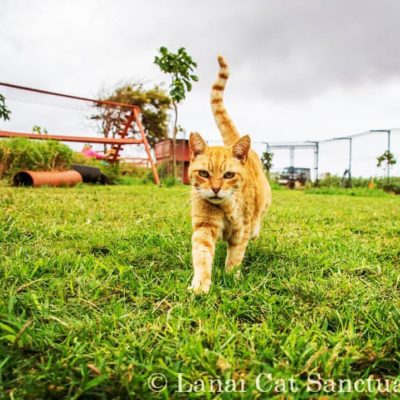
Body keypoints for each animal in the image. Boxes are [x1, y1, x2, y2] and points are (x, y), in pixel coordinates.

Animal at [188, 55, 272, 294]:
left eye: (228, 175)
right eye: (204, 173)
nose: (216, 188)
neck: (224, 209)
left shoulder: (240, 232)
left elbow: (235, 257)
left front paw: (231, 278)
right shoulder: (204, 228)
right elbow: (202, 256)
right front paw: (201, 284)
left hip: (264, 202)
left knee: (258, 222)